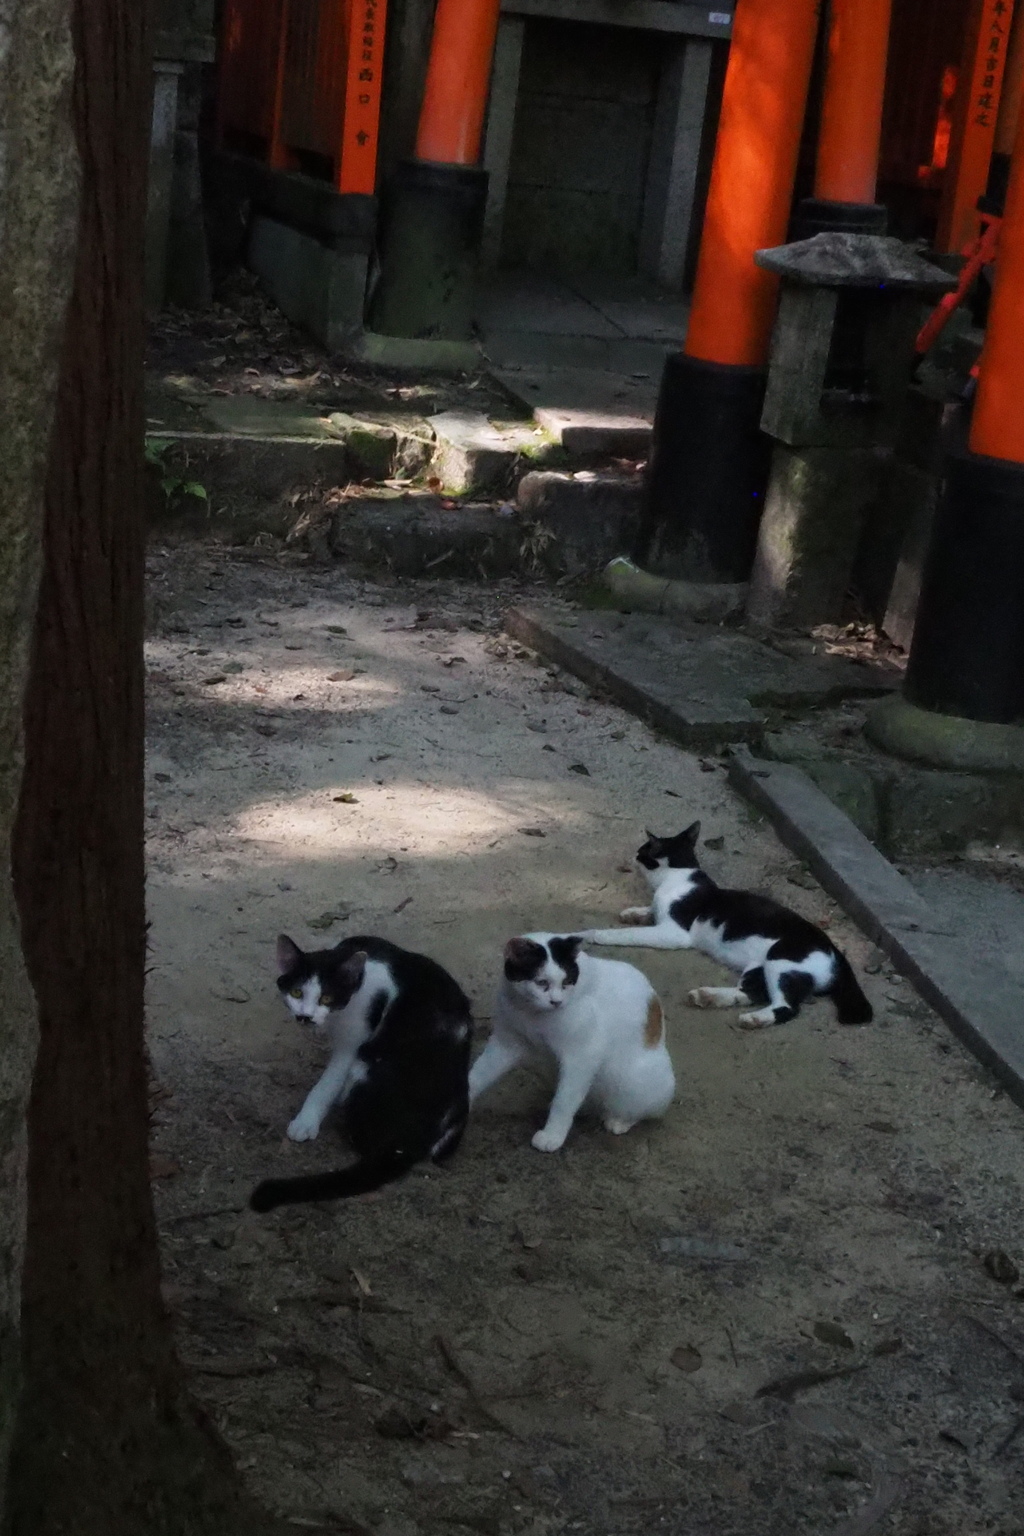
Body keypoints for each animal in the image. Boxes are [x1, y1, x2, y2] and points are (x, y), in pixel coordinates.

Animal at [250, 933, 475, 1210]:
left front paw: (306, 1121)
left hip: (366, 1064)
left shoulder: (353, 1041)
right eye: (296, 992)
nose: (305, 1017)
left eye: (326, 998)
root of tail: (409, 1144)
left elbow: (327, 1084)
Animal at [469, 933, 675, 1155]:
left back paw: (620, 1121)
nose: (556, 1002)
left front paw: (552, 1135)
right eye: (541, 982)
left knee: (644, 1108)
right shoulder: (506, 1043)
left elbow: (564, 1101)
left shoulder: (583, 1055)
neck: (531, 1012)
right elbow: (477, 1076)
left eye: (567, 982)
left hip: (631, 1079)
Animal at [583, 823, 872, 1026]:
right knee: (754, 992)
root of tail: (836, 951)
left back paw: (755, 1019)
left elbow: (631, 934)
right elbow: (647, 912)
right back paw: (708, 996)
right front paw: (633, 912)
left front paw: (595, 934)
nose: (633, 856)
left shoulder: (674, 933)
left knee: (785, 1007)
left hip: (781, 959)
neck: (677, 876)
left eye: (642, 851)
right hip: (759, 967)